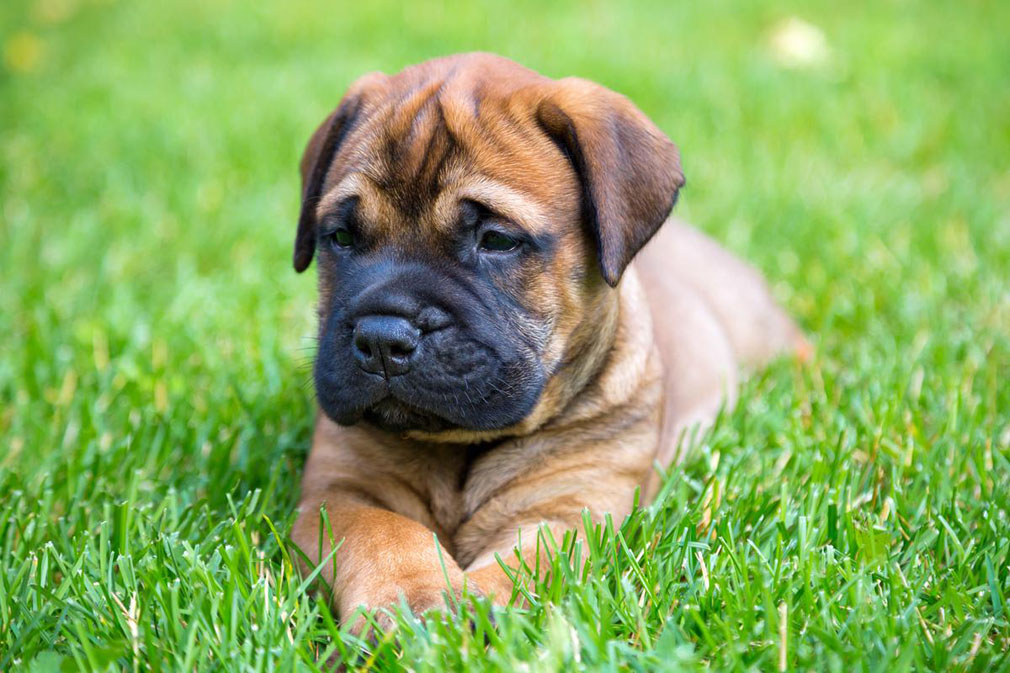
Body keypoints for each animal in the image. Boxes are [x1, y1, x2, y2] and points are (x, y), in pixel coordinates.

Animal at [290, 51, 803, 622]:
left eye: (496, 240)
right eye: (340, 237)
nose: (382, 337)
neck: (459, 447)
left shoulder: (577, 506)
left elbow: (530, 562)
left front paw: (472, 613)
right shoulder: (340, 490)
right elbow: (382, 531)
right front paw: (414, 600)